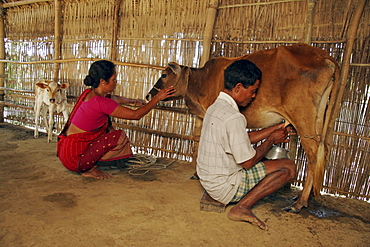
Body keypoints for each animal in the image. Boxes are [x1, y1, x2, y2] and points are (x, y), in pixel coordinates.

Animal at [145, 44, 342, 212]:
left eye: (164, 75)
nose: (148, 95)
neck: (200, 81)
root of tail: (323, 55)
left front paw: (198, 174)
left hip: (303, 118)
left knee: (313, 156)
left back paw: (300, 203)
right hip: (318, 117)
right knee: (321, 152)